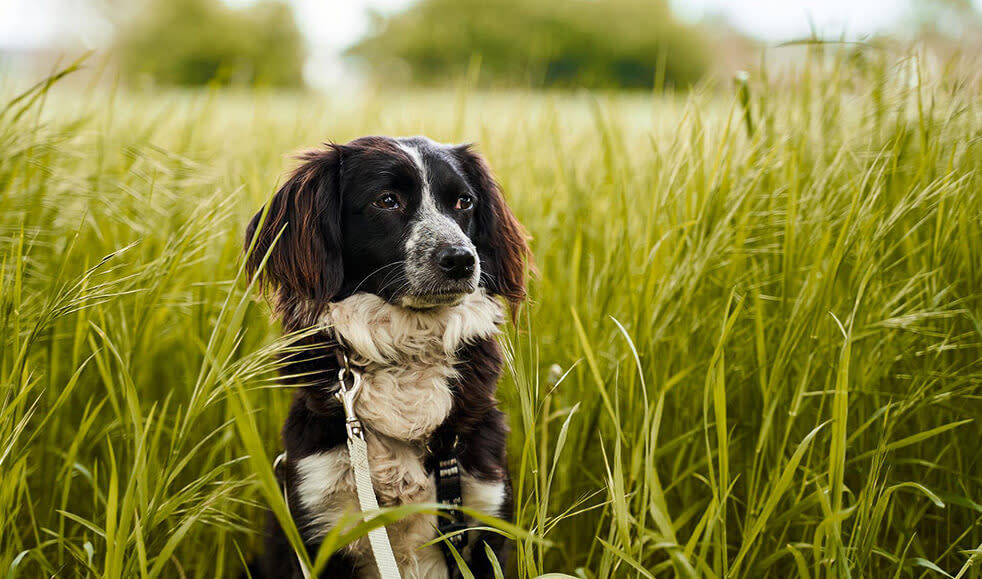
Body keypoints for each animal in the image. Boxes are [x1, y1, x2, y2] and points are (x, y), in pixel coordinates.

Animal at [245, 137, 532, 579]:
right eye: (387, 200)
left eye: (464, 201)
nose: (462, 259)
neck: (407, 352)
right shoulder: (319, 522)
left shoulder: (484, 516)